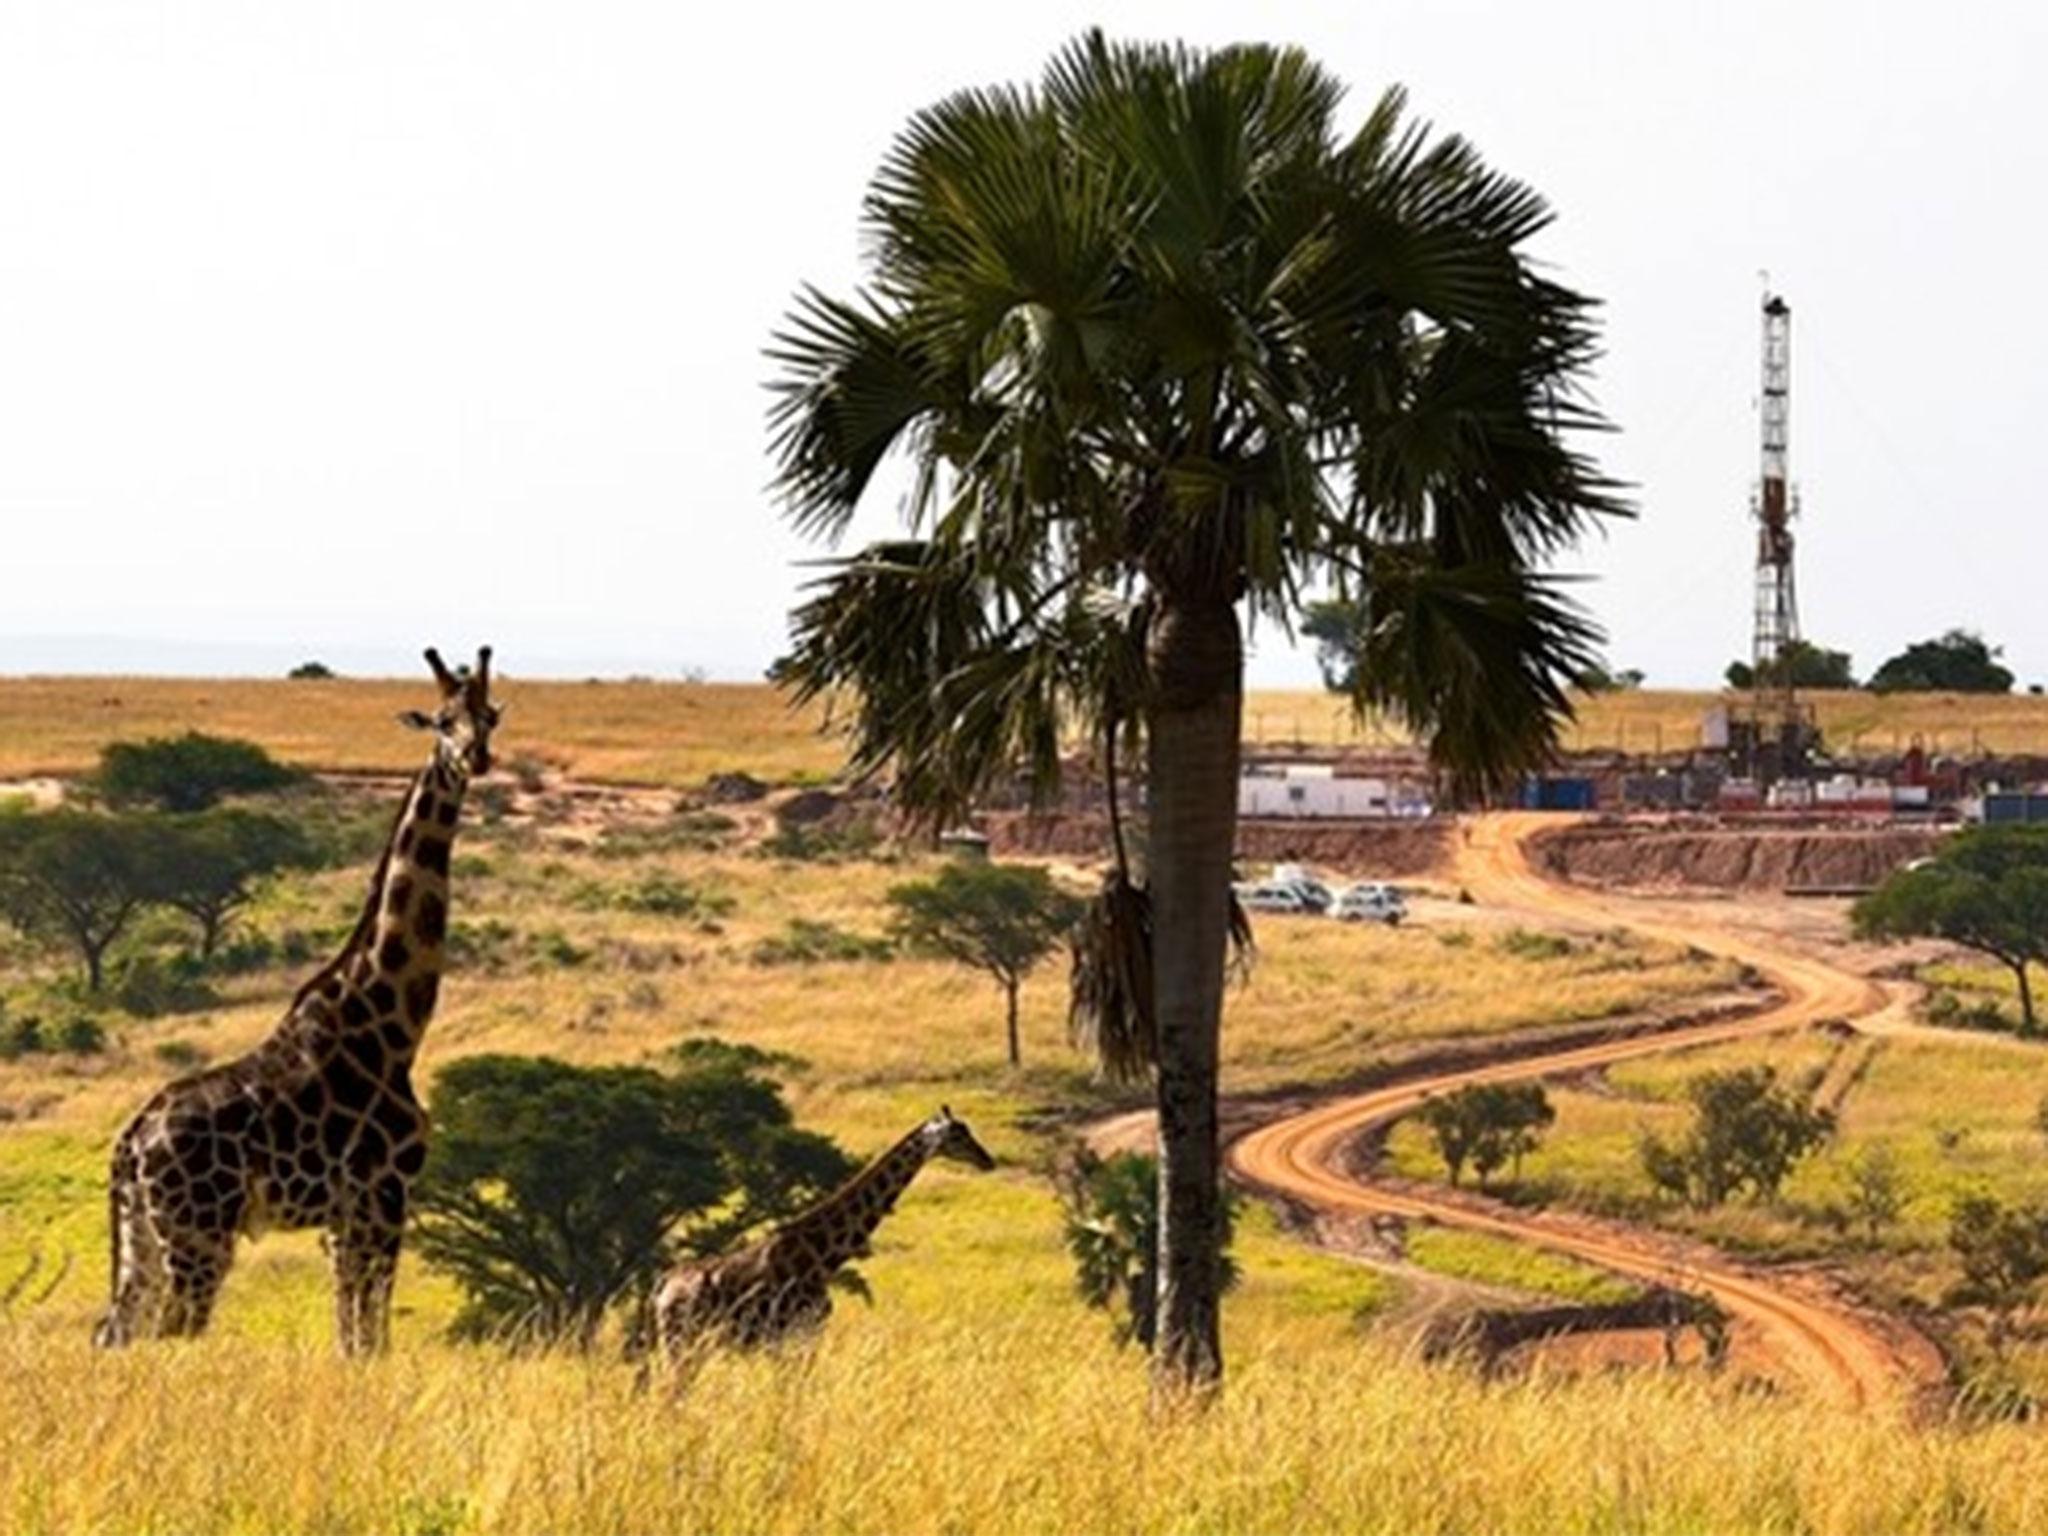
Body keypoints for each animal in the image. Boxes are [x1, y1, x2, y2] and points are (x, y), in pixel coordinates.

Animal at [97, 643, 505, 1351]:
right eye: (442, 720)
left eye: (488, 718)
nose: (473, 757)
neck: (395, 1026)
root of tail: (129, 1145)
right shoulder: (385, 1190)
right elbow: (372, 1334)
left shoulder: (348, 1213)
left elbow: (352, 1333)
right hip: (200, 1233)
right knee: (173, 1332)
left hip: (143, 1237)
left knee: (118, 1330)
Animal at [643, 1097, 987, 1368]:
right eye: (957, 1135)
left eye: (968, 1130)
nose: (988, 1159)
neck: (824, 1257)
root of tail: (662, 1286)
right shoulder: (793, 1336)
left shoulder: (803, 1338)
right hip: (681, 1342)